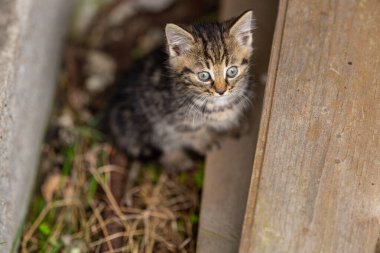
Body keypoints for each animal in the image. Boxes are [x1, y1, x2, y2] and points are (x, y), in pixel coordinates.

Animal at [107, 10, 255, 171]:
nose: (221, 91)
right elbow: (192, 131)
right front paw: (206, 141)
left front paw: (236, 125)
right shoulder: (170, 118)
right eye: (203, 76)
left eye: (232, 71)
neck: (219, 105)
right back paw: (176, 160)